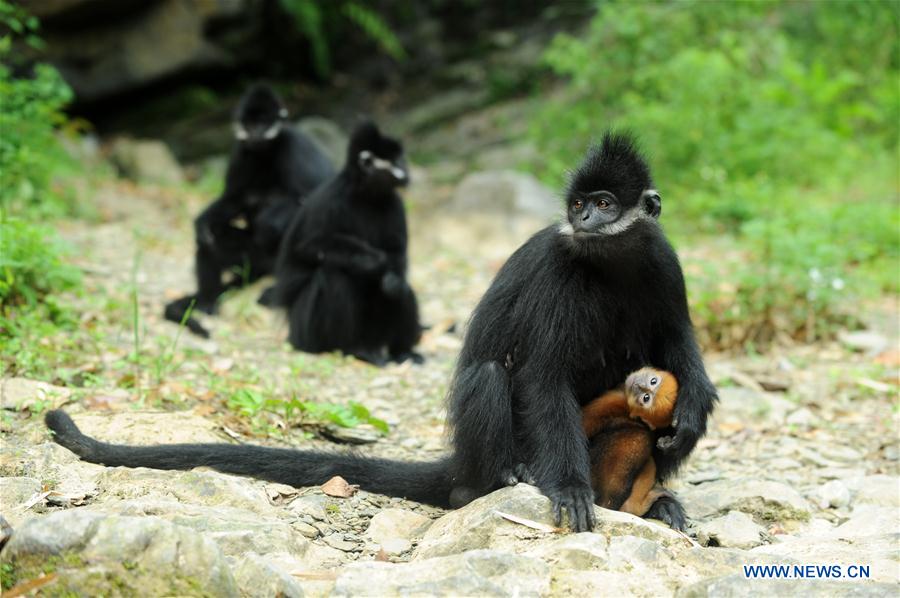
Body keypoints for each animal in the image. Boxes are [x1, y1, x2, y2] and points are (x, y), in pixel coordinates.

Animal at [163, 83, 334, 338]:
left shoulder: (296, 146)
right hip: (251, 257)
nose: (255, 134)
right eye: (250, 124)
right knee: (210, 240)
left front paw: (270, 220)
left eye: (263, 123)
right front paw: (204, 220)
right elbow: (235, 198)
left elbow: (316, 202)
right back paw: (206, 301)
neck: (266, 152)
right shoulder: (241, 150)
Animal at [272, 122, 424, 366]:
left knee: (400, 290)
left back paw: (401, 352)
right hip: (304, 328)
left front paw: (388, 275)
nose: (407, 170)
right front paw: (372, 261)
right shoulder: (331, 199)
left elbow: (397, 255)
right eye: (398, 160)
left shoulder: (394, 203)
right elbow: (309, 246)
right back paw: (351, 349)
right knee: (336, 276)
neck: (366, 196)